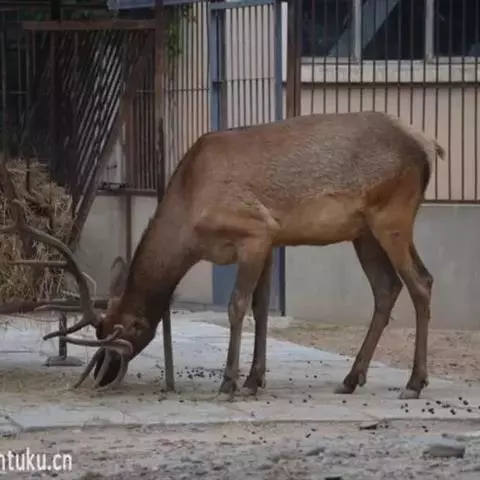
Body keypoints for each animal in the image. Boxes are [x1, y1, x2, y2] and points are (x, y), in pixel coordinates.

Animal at [0, 110, 444, 400]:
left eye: (126, 332)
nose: (104, 375)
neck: (190, 217)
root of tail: (429, 146)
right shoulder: (270, 240)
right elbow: (262, 309)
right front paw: (254, 380)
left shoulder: (255, 230)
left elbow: (237, 306)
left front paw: (230, 382)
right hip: (363, 231)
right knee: (387, 288)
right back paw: (352, 379)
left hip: (392, 216)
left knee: (421, 281)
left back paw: (413, 383)